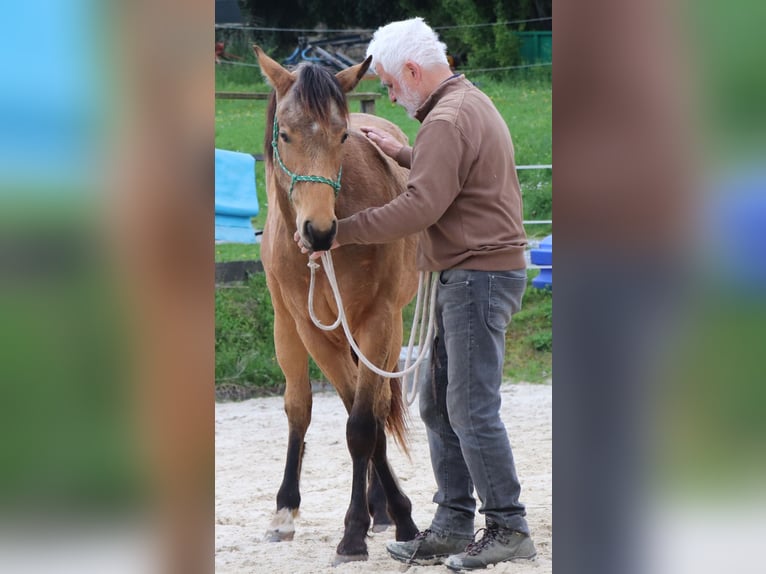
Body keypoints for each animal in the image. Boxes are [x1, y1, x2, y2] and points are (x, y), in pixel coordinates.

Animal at [253, 46, 420, 564]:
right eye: (285, 134)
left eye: (342, 135)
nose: (319, 231)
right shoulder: (312, 330)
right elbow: (348, 418)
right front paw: (370, 518)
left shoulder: (378, 322)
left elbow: (365, 424)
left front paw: (370, 525)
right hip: (289, 328)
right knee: (300, 406)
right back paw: (288, 510)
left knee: (378, 408)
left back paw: (380, 510)